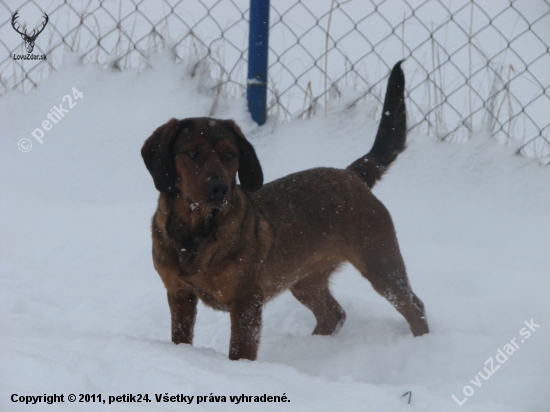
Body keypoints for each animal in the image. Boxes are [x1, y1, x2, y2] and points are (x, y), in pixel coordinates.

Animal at [141, 62, 432, 360]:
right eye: (193, 154)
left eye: (230, 155)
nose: (220, 188)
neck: (196, 232)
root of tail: (353, 175)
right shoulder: (179, 295)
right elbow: (180, 338)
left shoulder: (246, 302)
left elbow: (240, 350)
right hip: (305, 280)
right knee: (334, 314)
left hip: (381, 263)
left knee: (414, 306)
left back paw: (424, 345)